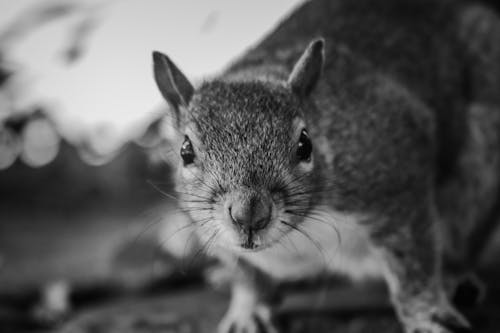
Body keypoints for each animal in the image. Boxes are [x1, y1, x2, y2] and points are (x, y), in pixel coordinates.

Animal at [150, 0, 500, 332]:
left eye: (305, 144)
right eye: (185, 151)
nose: (249, 215)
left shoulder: (394, 166)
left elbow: (413, 259)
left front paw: (427, 314)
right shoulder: (209, 230)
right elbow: (247, 275)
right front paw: (247, 310)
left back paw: (456, 276)